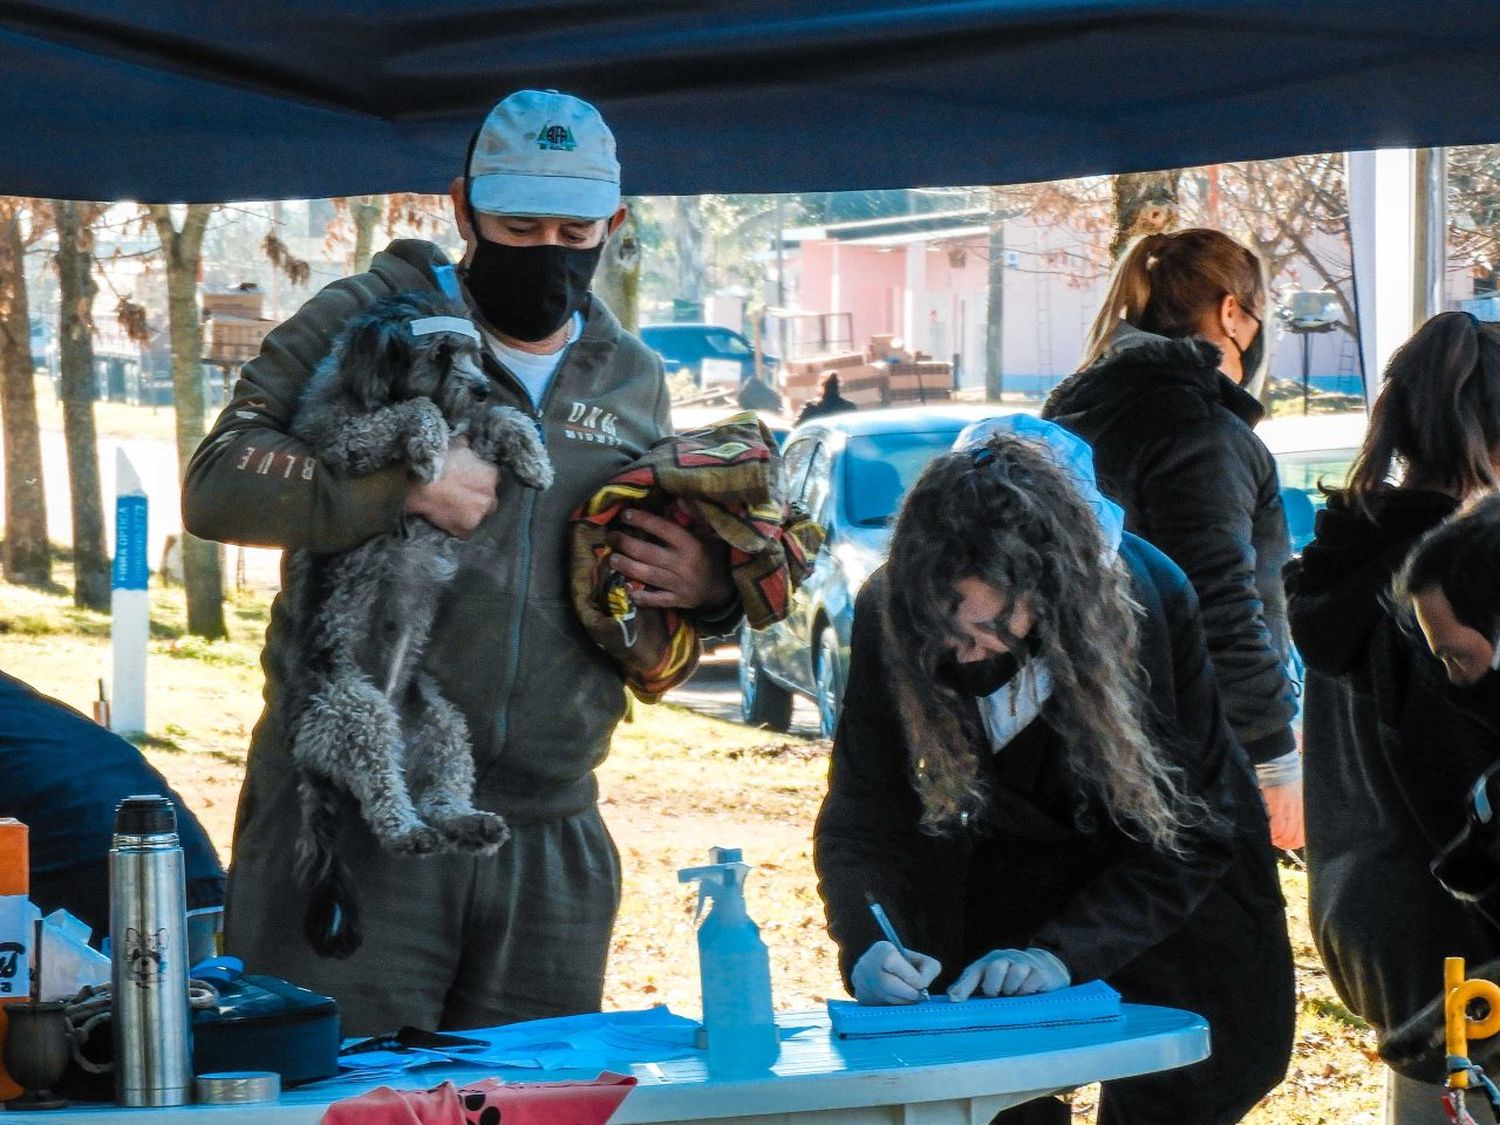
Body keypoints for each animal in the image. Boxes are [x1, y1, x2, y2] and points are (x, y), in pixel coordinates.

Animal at [282, 291, 552, 960]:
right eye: (438, 354)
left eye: (476, 352)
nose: (481, 384)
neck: (365, 388)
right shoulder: (342, 443)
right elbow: (415, 409)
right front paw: (427, 445)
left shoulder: (472, 425)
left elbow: (500, 419)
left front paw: (532, 456)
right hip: (357, 715)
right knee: (386, 801)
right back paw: (408, 832)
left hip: (442, 725)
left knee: (437, 795)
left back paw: (466, 822)